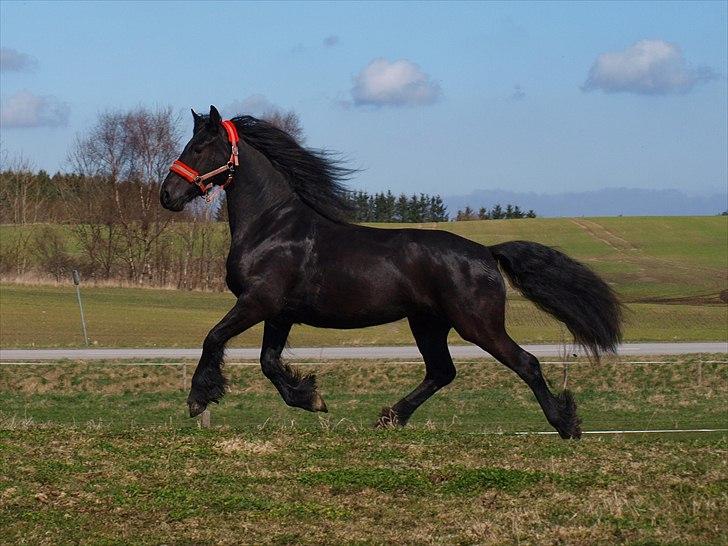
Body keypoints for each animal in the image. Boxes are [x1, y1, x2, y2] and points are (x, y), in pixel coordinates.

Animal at [161, 105, 620, 438]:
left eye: (199, 147)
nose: (168, 195)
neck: (271, 227)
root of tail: (486, 253)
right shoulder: (279, 312)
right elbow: (269, 363)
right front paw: (311, 398)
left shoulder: (258, 301)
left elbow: (214, 337)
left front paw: (198, 399)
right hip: (428, 323)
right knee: (442, 371)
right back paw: (390, 417)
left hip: (477, 324)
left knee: (526, 363)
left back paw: (566, 424)